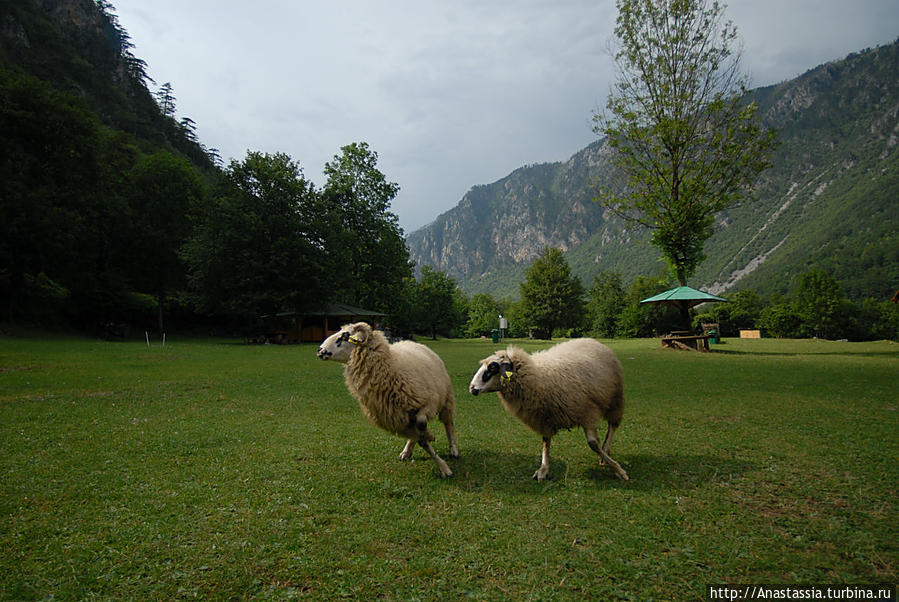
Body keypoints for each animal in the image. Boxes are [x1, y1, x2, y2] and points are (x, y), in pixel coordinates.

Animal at [316, 322, 458, 476]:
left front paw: (438, 455)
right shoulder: (400, 421)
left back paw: (453, 449)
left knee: (448, 423)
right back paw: (406, 451)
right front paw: (440, 462)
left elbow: (421, 425)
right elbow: (421, 439)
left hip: (446, 399)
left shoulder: (429, 404)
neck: (389, 368)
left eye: (345, 336)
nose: (320, 350)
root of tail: (414, 343)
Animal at [468, 336, 628, 480]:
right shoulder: (544, 418)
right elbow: (545, 442)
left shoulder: (588, 413)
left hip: (615, 400)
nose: (472, 388)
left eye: (492, 367)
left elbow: (594, 444)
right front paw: (543, 469)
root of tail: (591, 340)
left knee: (613, 425)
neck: (538, 376)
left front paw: (618, 469)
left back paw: (606, 450)